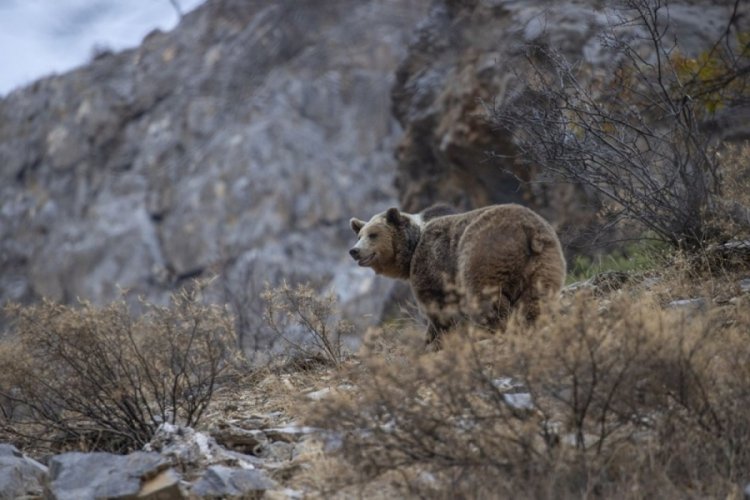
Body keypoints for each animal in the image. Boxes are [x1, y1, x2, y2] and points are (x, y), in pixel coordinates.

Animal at [350, 205, 568, 346]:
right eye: (359, 235)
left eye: (373, 234)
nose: (354, 251)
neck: (412, 249)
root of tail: (527, 230)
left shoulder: (432, 265)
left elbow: (438, 308)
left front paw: (433, 339)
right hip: (544, 261)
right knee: (537, 299)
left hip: (483, 254)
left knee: (487, 299)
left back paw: (492, 330)